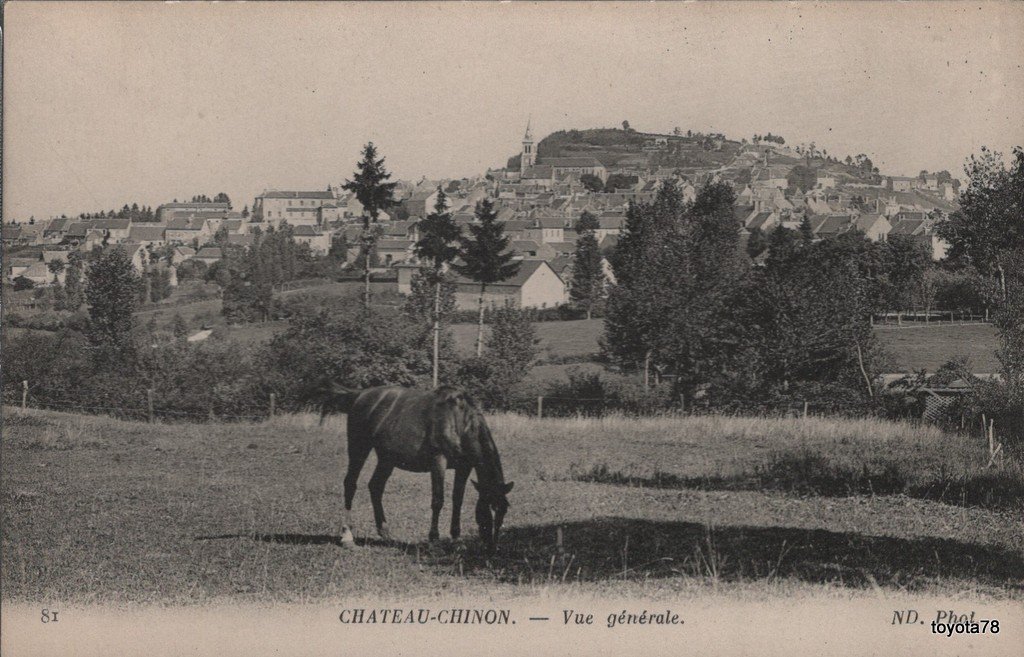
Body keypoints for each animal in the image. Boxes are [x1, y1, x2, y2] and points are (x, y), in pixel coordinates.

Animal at [319, 380, 512, 548]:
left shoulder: (464, 467)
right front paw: (434, 539)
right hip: (359, 448)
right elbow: (438, 500)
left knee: (375, 486)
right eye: (487, 509)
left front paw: (456, 539)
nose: (492, 547)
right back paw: (347, 536)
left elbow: (458, 500)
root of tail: (359, 395)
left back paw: (385, 532)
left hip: (387, 458)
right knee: (350, 483)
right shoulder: (438, 461)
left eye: (503, 511)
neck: (457, 420)